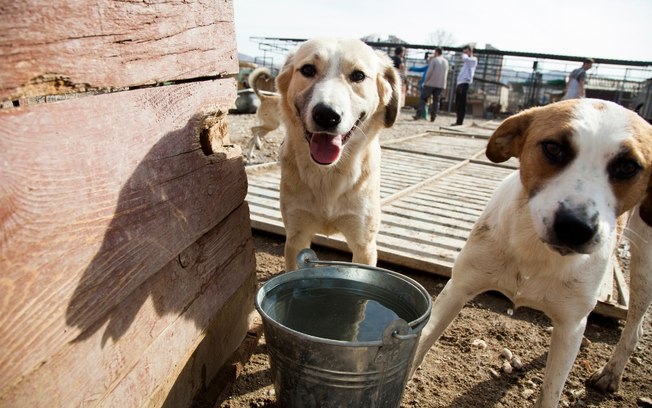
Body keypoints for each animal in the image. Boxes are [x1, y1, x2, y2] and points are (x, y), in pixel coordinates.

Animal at [274, 38, 400, 270]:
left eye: (358, 75)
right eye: (307, 69)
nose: (326, 115)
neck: (328, 174)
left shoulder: (364, 245)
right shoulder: (296, 237)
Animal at [412, 99, 652, 408]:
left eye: (628, 166)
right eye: (553, 148)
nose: (575, 227)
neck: (535, 251)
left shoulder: (571, 324)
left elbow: (551, 391)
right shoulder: (459, 288)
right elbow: (421, 343)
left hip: (645, 263)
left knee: (635, 326)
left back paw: (611, 373)